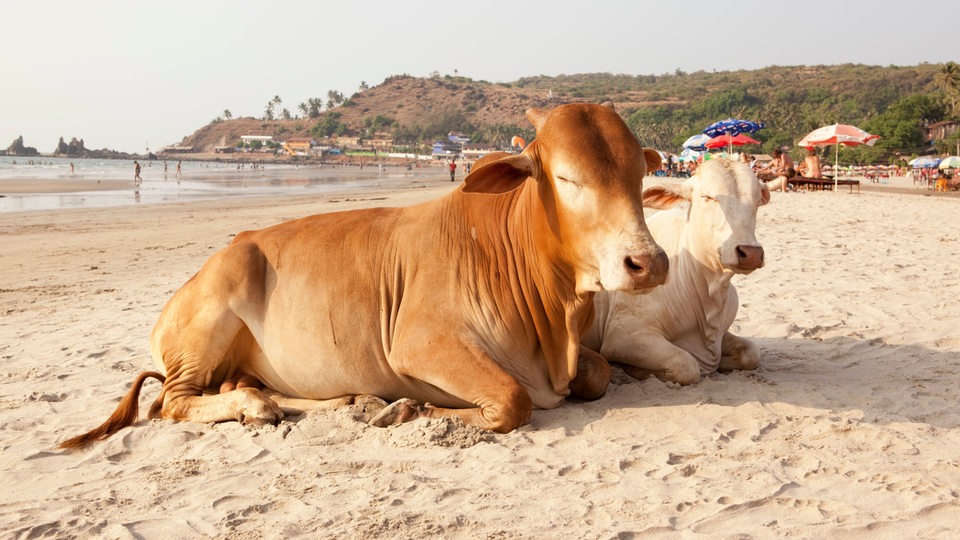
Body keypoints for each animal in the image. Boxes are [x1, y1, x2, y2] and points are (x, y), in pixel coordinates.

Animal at [56, 103, 664, 450]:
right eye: (567, 178)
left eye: (639, 173)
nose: (649, 262)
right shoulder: (419, 344)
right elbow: (513, 400)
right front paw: (413, 409)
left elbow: (598, 371)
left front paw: (397, 407)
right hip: (207, 321)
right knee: (171, 403)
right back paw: (260, 406)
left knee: (246, 388)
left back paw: (333, 402)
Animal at [580, 158, 768, 386]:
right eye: (707, 197)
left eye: (757, 201)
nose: (751, 253)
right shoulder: (623, 335)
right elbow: (687, 365)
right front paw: (636, 369)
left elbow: (751, 353)